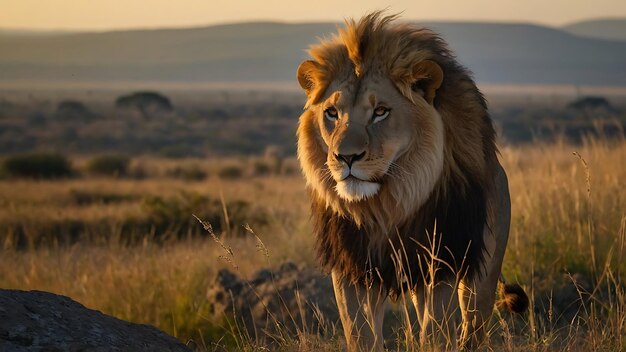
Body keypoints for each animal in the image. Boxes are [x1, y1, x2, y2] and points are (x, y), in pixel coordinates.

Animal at [294, 11, 528, 352]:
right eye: (332, 113)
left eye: (380, 111)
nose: (346, 157)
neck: (385, 206)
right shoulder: (352, 265)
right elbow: (360, 333)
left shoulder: (442, 262)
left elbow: (436, 333)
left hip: (481, 269)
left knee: (473, 326)